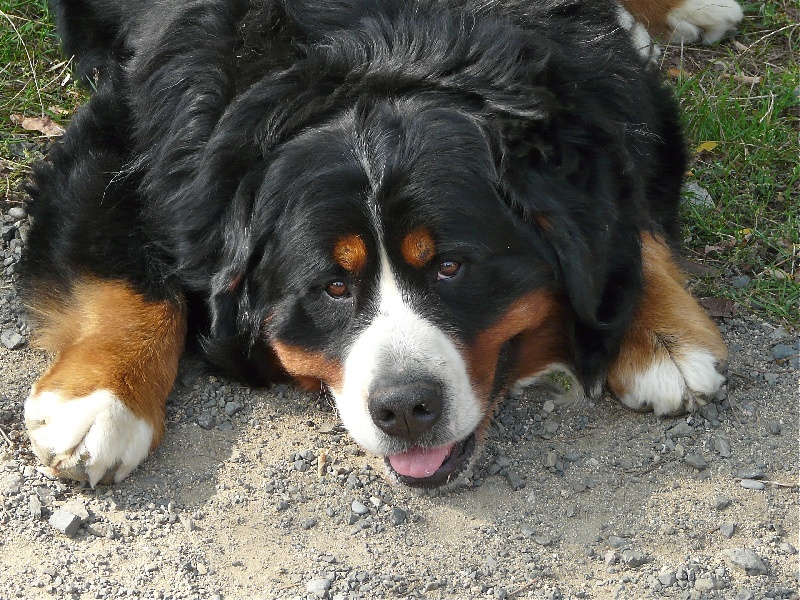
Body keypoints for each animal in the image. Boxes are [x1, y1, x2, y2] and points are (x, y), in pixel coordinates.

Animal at [20, 0, 744, 488]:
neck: (385, 47)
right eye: (333, 287)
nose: (405, 409)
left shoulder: (617, 104)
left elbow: (631, 217)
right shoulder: (125, 138)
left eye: (451, 266)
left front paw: (662, 338)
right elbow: (126, 273)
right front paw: (101, 404)